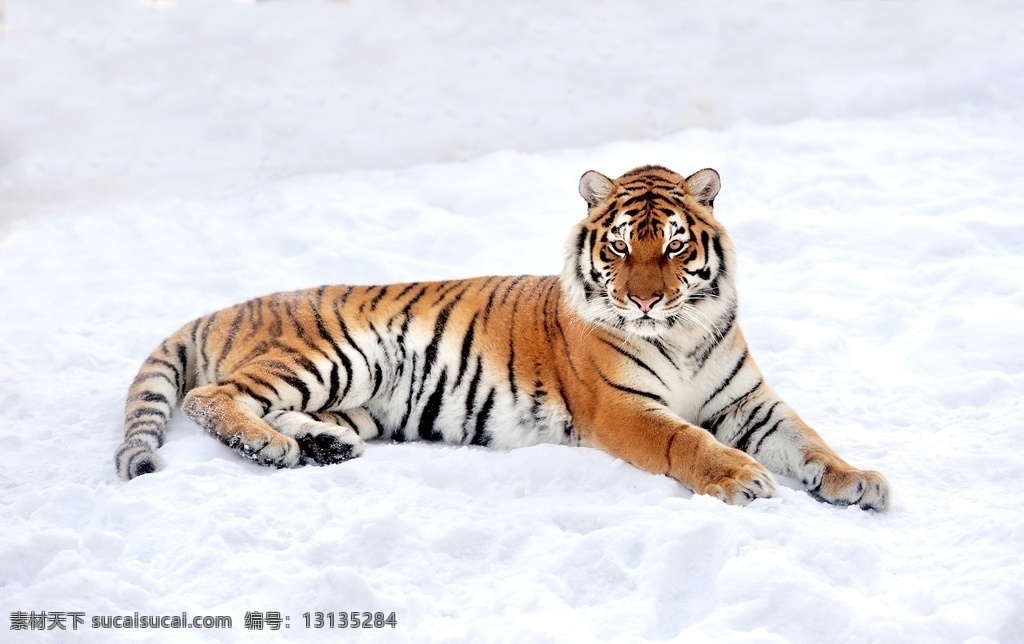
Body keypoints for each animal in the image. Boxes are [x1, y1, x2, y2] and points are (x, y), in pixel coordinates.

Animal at [115, 164, 891, 510]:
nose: (643, 300)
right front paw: (742, 478)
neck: (684, 331)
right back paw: (272, 448)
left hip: (355, 399)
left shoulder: (748, 401)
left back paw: (321, 447)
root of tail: (229, 307)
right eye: (618, 247)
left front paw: (856, 480)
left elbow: (807, 440)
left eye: (673, 246)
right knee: (214, 399)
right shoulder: (622, 407)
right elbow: (687, 441)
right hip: (331, 355)